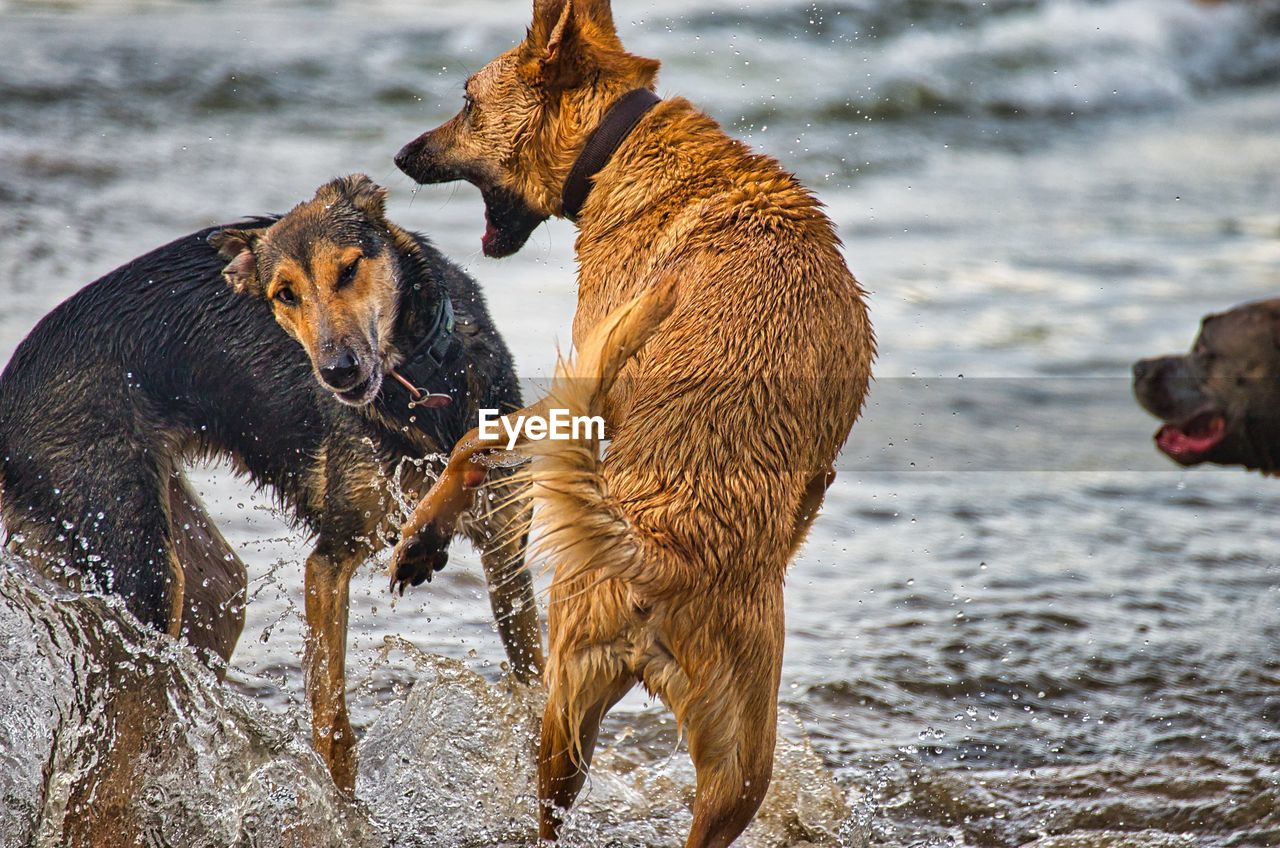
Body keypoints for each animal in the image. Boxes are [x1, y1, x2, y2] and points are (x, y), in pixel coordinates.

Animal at [0, 175, 542, 794]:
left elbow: (540, 698)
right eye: (284, 294)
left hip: (208, 590)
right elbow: (332, 724)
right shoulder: (329, 562)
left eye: (349, 269)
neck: (423, 384)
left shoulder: (506, 556)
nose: (338, 372)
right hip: (135, 564)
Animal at [389, 3, 870, 845]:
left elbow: (471, 443)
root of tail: (665, 554)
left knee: (548, 809)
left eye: (467, 102)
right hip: (735, 765)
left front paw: (423, 538)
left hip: (565, 694)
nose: (401, 154)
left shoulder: (585, 381)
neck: (621, 142)